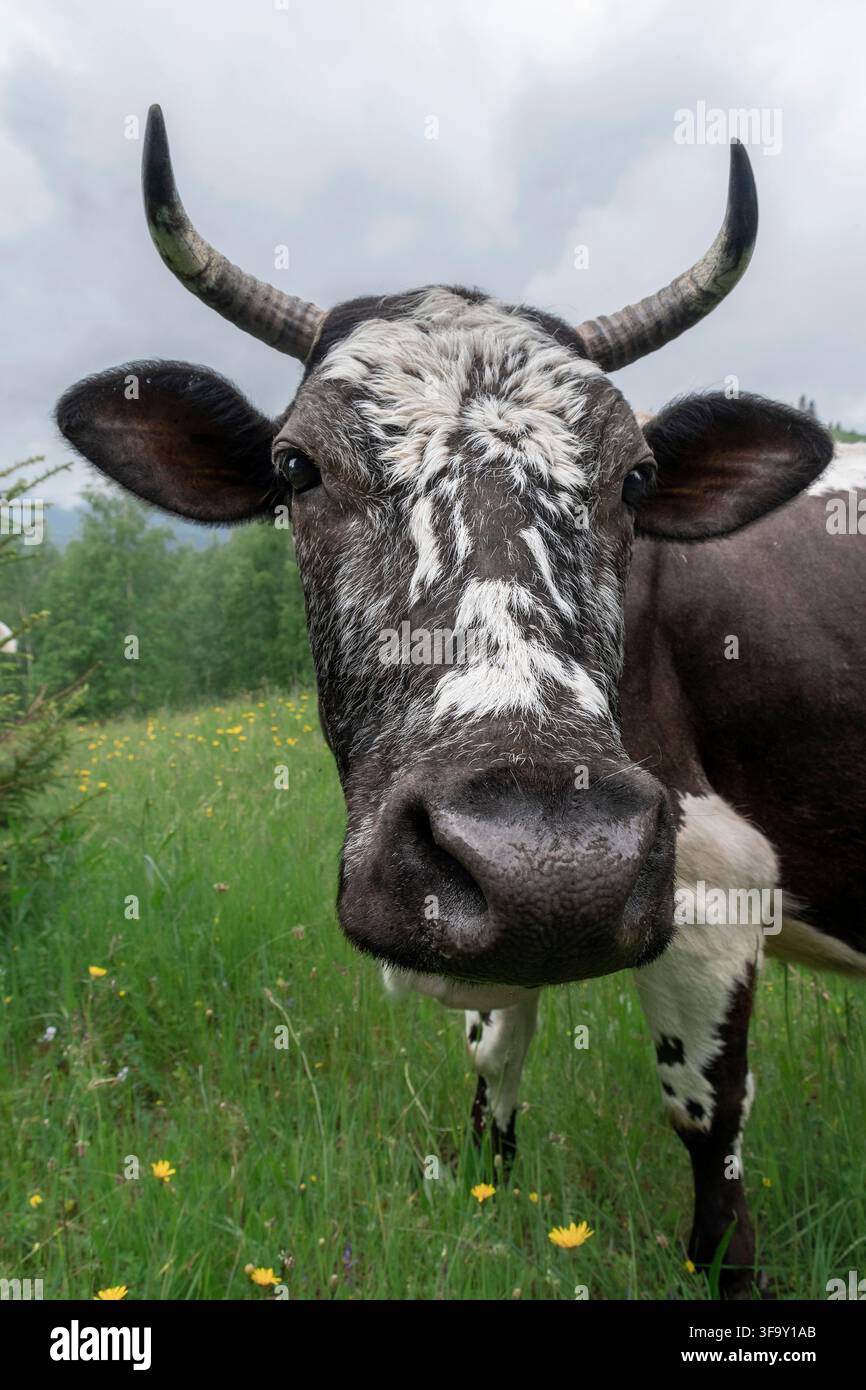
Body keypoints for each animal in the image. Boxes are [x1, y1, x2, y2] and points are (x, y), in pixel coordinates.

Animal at [56, 106, 865, 1298]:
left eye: (635, 476)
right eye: (293, 466)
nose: (551, 859)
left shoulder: (715, 884)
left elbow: (707, 1123)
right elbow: (495, 1054)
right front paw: (486, 1198)